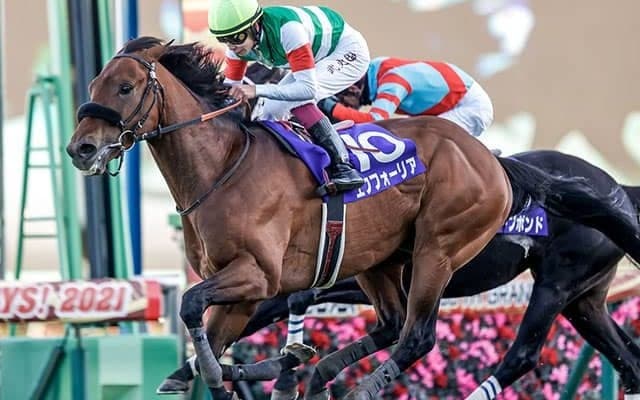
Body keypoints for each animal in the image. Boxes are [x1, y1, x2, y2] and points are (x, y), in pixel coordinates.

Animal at [160, 151, 640, 400]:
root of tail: (617, 187)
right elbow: (268, 309)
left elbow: (286, 302)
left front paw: (277, 370)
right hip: (584, 298)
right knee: (629, 358)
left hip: (555, 284)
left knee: (522, 354)